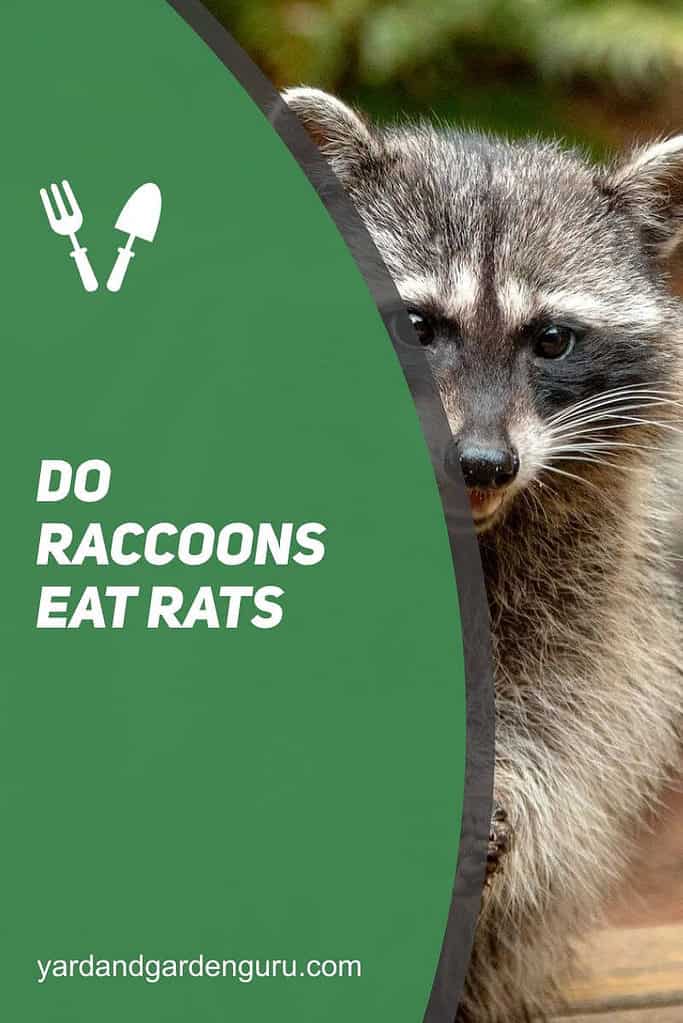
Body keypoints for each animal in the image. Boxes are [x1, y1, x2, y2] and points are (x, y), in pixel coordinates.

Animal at [284, 88, 683, 1021]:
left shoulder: (596, 555)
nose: (481, 462)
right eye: (418, 325)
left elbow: (565, 701)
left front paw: (506, 783)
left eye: (552, 340)